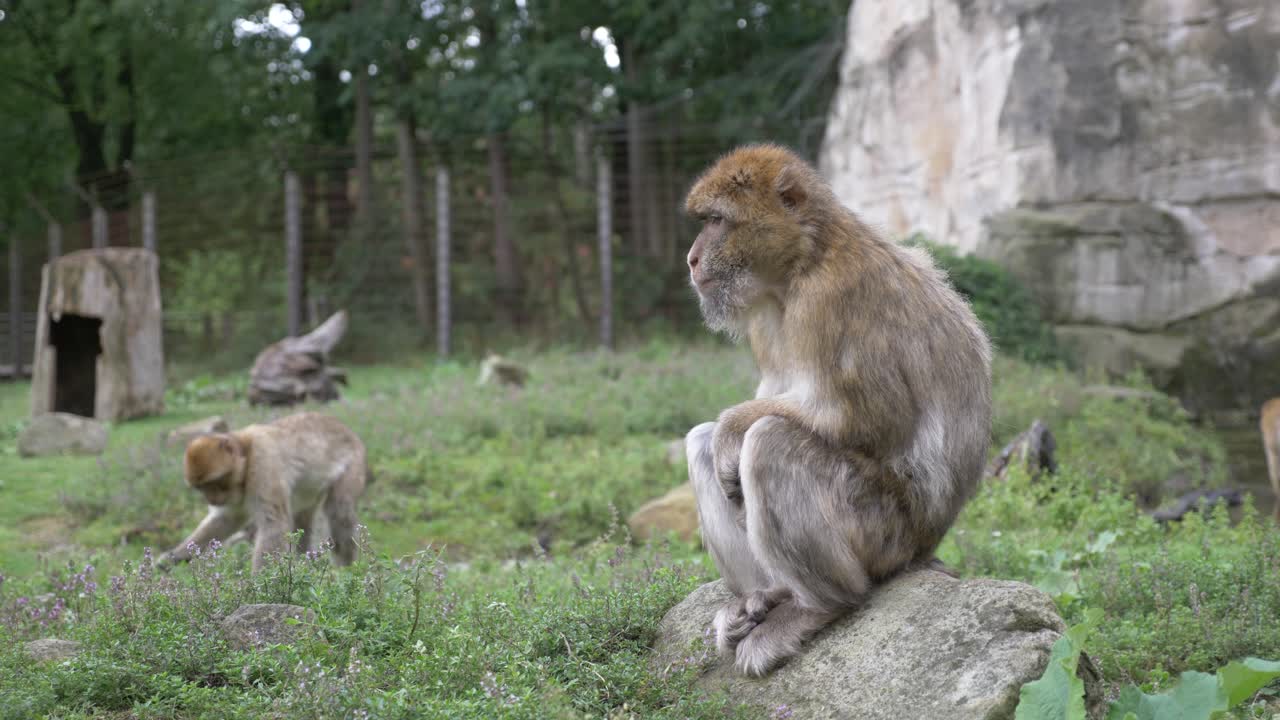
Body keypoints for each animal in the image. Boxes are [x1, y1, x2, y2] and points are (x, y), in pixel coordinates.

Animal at [156, 412, 369, 573]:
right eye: (201, 488)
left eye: (214, 483)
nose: (212, 499)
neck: (246, 455)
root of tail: (346, 429)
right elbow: (225, 520)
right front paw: (173, 557)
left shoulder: (263, 464)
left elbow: (273, 524)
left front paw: (260, 585)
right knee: (303, 520)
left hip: (354, 464)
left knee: (340, 511)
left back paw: (347, 570)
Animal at [682, 144, 993, 677]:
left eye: (717, 221)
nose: (692, 258)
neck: (803, 260)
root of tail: (922, 549)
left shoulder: (830, 298)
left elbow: (869, 418)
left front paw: (732, 427)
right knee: (706, 445)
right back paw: (764, 596)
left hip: (880, 532)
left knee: (770, 441)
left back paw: (821, 605)